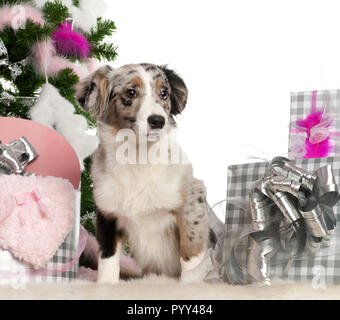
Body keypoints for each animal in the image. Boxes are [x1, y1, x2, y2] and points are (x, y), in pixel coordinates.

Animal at [76, 63, 210, 284]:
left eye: (164, 93)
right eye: (131, 92)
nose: (158, 121)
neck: (137, 158)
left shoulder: (191, 207)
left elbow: (191, 256)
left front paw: (189, 285)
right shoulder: (107, 213)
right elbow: (108, 257)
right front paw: (105, 285)